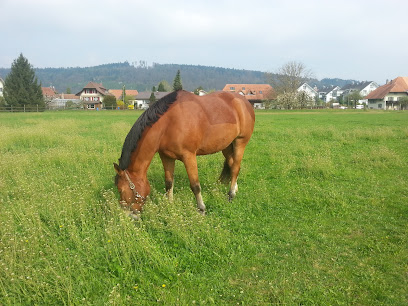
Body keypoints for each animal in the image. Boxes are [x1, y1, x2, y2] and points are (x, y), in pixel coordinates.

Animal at [114, 89, 255, 219]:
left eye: (121, 189)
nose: (129, 216)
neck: (169, 123)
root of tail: (244, 102)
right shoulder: (166, 157)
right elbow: (169, 182)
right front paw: (169, 204)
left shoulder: (189, 156)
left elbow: (195, 185)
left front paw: (201, 209)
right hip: (226, 146)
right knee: (232, 165)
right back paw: (235, 189)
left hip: (240, 142)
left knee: (235, 167)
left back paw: (231, 195)